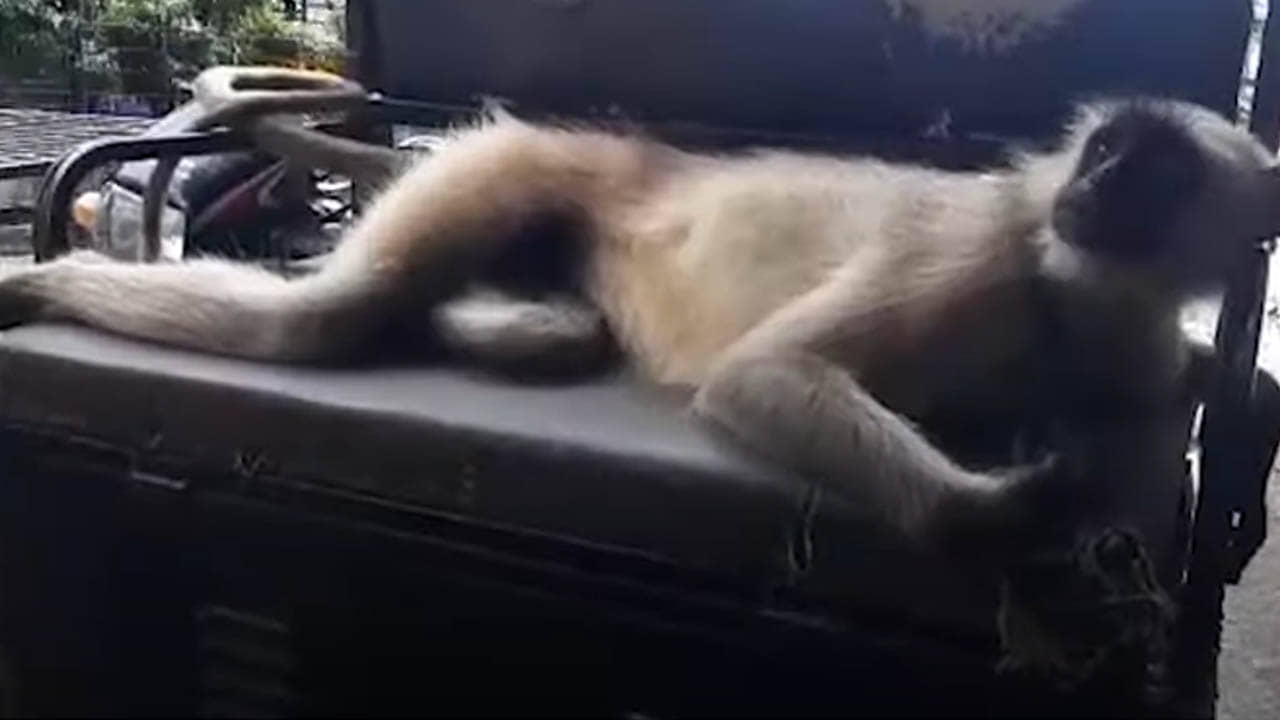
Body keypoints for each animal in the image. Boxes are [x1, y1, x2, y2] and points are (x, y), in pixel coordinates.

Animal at [1, 97, 1275, 560]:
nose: (1092, 187)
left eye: (1150, 174)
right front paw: (1006, 507)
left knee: (536, 329)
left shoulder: (1125, 330)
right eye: (1105, 149)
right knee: (324, 322)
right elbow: (764, 372)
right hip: (512, 163)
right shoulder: (981, 251)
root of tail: (636, 152)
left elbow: (1186, 377)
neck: (1070, 286)